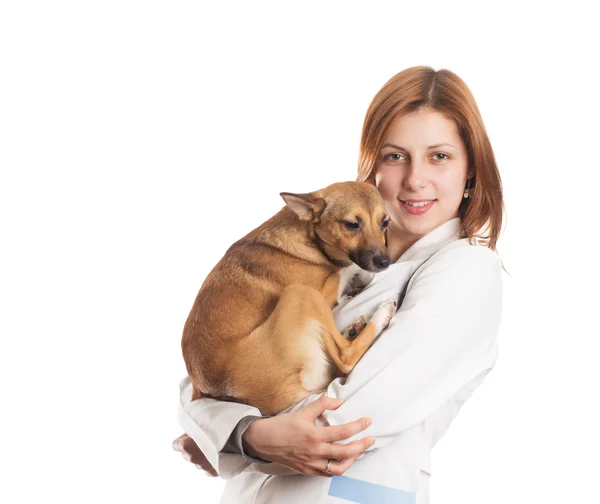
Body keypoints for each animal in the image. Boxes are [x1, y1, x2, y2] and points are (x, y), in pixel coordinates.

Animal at [183, 183, 398, 416]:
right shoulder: (324, 290)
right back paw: (381, 315)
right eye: (351, 224)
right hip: (300, 293)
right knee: (345, 356)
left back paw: (354, 329)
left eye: (385, 223)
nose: (385, 262)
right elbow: (347, 269)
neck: (311, 238)